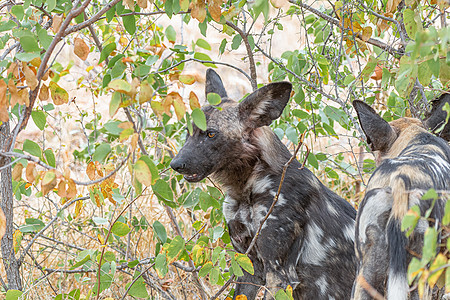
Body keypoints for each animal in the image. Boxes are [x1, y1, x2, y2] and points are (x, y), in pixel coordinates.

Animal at [171, 69, 356, 298]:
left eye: (211, 133)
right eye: (188, 132)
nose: (176, 164)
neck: (244, 188)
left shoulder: (279, 273)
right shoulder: (248, 267)